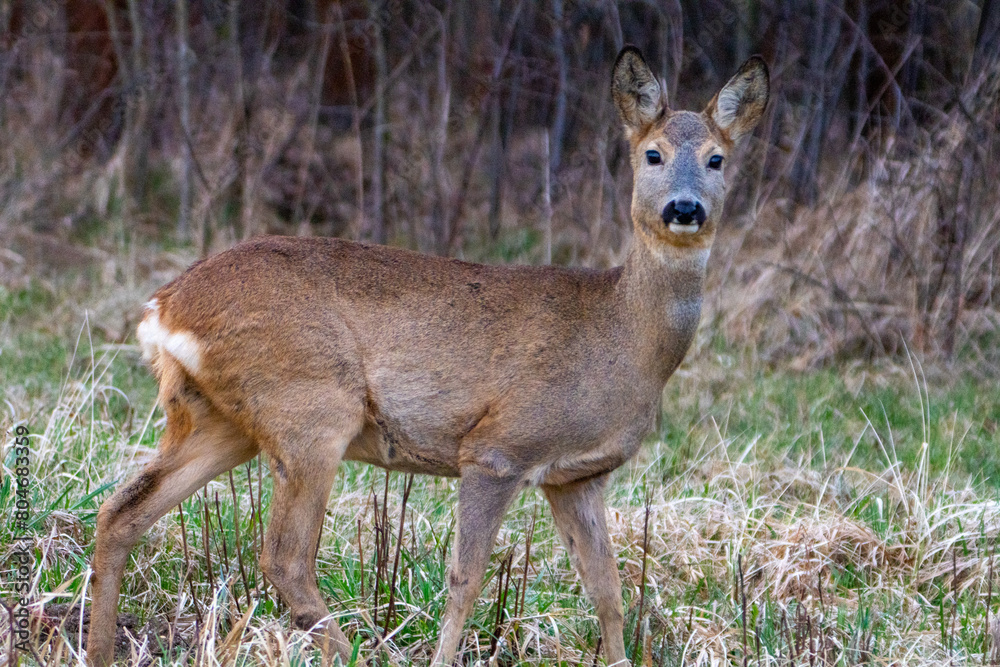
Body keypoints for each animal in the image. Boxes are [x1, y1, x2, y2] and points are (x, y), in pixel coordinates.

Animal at [86, 48, 768, 667]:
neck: (623, 339)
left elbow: (608, 590)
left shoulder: (577, 475)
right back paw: (358, 653)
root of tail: (165, 307)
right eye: (652, 154)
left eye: (717, 159)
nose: (685, 208)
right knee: (284, 556)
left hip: (218, 419)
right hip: (310, 406)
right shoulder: (498, 448)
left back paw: (98, 649)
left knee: (122, 511)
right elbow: (465, 579)